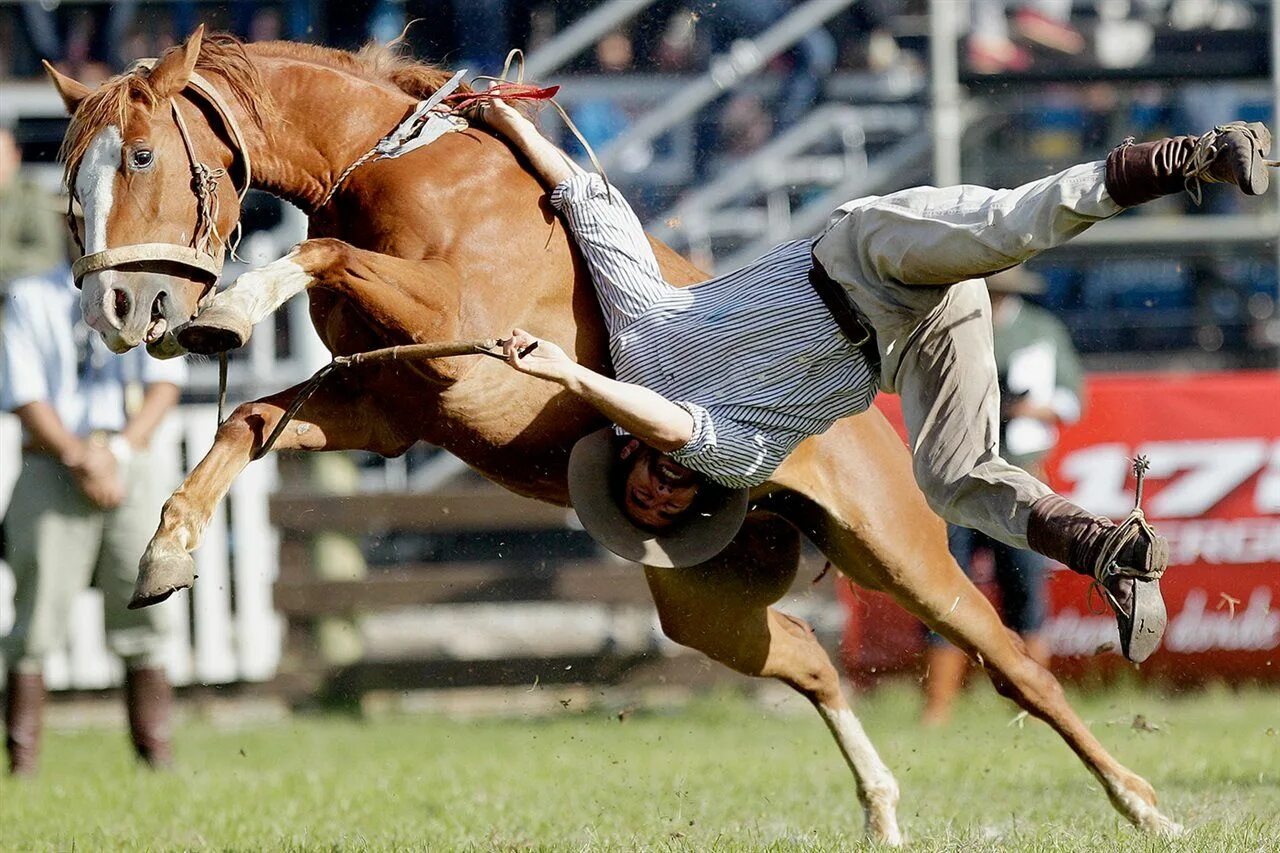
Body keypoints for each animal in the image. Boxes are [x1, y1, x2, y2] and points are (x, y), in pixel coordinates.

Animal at [47, 29, 1177, 840]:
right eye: (68, 181)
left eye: (141, 155)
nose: (122, 308)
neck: (398, 175)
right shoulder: (389, 402)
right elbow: (248, 417)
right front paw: (163, 554)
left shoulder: (453, 339)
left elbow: (320, 254)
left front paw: (235, 307)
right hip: (704, 600)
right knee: (813, 661)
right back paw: (885, 809)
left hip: (897, 549)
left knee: (1015, 662)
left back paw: (1143, 793)